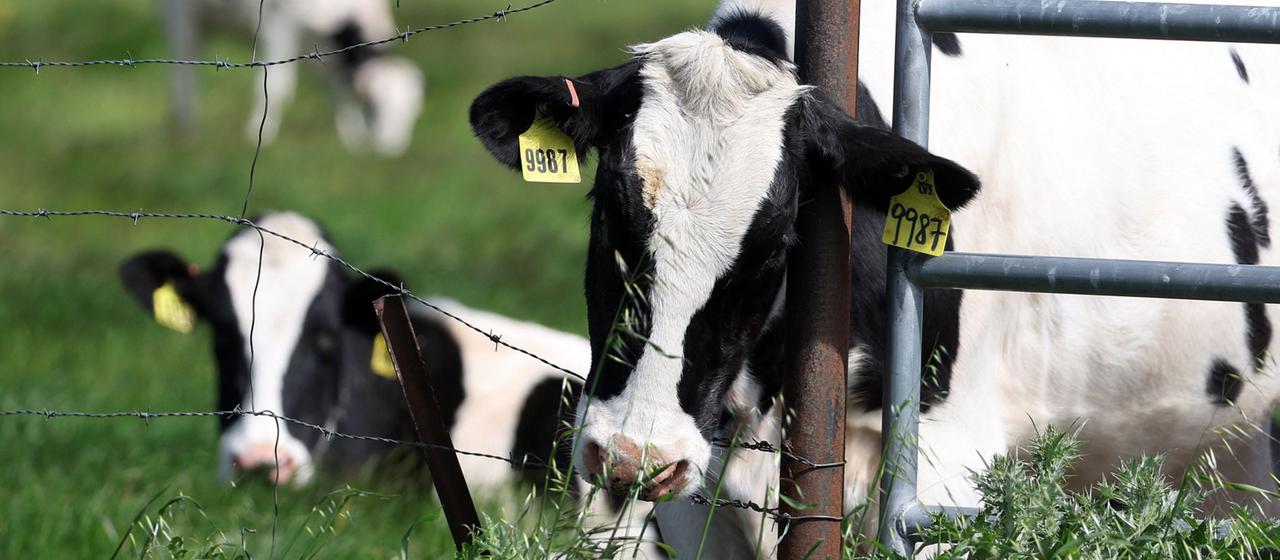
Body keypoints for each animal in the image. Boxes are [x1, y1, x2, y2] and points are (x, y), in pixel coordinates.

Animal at [164, 0, 424, 156]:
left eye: (412, 111)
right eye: (373, 106)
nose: (392, 148)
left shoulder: (325, 52)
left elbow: (339, 91)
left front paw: (352, 137)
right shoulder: (278, 26)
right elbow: (277, 88)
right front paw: (259, 135)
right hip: (181, 13)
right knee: (183, 67)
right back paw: (186, 129)